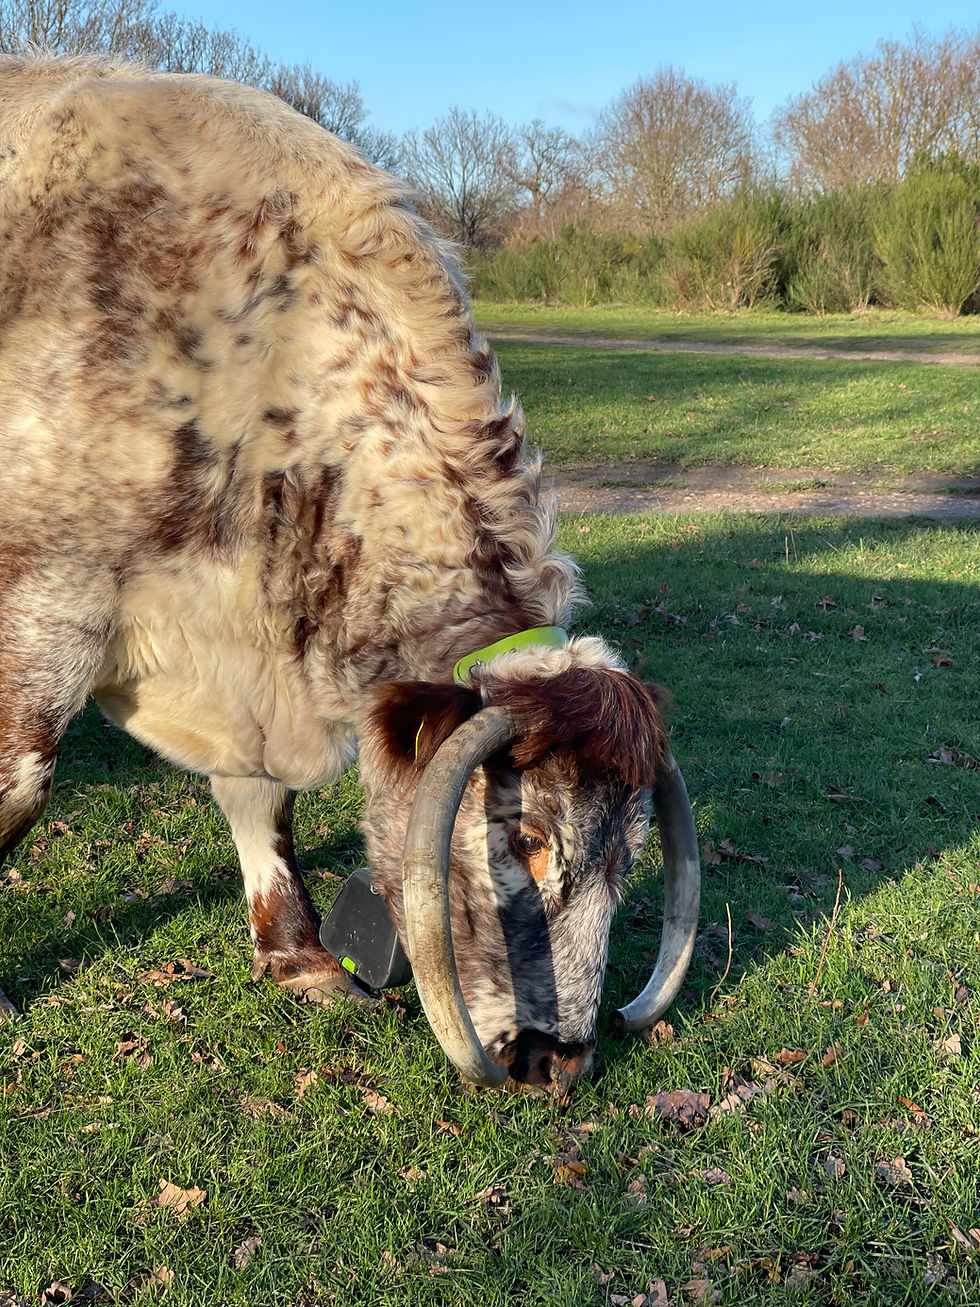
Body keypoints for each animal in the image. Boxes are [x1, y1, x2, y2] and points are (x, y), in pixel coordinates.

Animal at [0, 55, 700, 1092]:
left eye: (633, 857)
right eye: (523, 839)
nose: (557, 1061)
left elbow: (261, 802)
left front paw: (297, 956)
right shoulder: (43, 603)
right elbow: (20, 791)